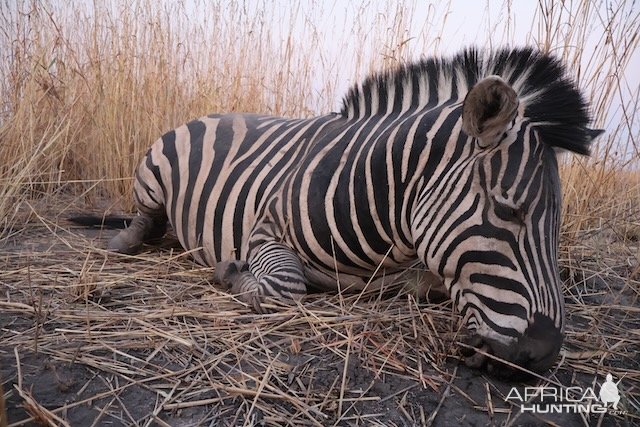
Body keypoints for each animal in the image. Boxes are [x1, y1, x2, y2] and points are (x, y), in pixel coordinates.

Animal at [92, 48, 604, 376]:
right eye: (506, 210)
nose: (541, 357)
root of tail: (213, 112)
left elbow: (428, 284)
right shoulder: (265, 228)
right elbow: (284, 285)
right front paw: (231, 272)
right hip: (152, 172)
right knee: (144, 217)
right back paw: (125, 241)